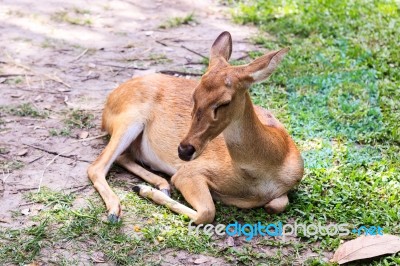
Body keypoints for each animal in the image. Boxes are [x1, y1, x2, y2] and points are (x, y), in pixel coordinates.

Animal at [88, 32, 304, 225]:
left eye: (224, 102)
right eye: (194, 95)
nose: (184, 150)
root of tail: (111, 98)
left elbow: (276, 204)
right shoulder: (189, 172)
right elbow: (207, 212)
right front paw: (145, 191)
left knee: (123, 157)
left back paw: (160, 184)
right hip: (129, 119)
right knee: (96, 166)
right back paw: (116, 210)